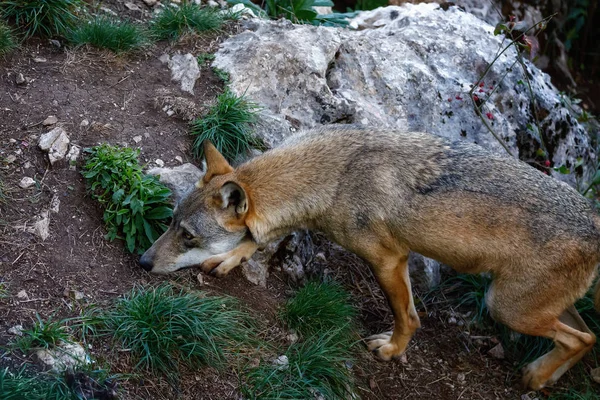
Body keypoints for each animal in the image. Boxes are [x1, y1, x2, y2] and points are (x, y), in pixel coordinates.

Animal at [141, 126, 600, 390]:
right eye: (171, 223)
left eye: (187, 235)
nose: (143, 262)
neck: (336, 177)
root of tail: (594, 220)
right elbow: (257, 238)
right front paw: (230, 259)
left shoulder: (389, 260)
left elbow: (408, 317)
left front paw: (393, 350)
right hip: (527, 306)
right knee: (587, 337)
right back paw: (543, 376)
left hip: (503, 307)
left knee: (581, 338)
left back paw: (536, 376)